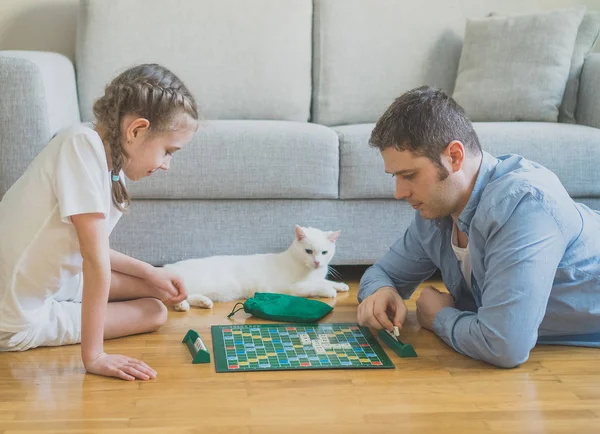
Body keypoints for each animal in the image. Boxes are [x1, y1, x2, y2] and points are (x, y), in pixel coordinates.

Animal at [164, 225, 352, 310]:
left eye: (324, 252)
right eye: (308, 251)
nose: (317, 262)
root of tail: (168, 267)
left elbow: (324, 281)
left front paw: (340, 285)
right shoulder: (292, 287)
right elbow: (314, 287)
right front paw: (328, 291)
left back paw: (203, 302)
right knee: (175, 297)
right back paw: (182, 305)